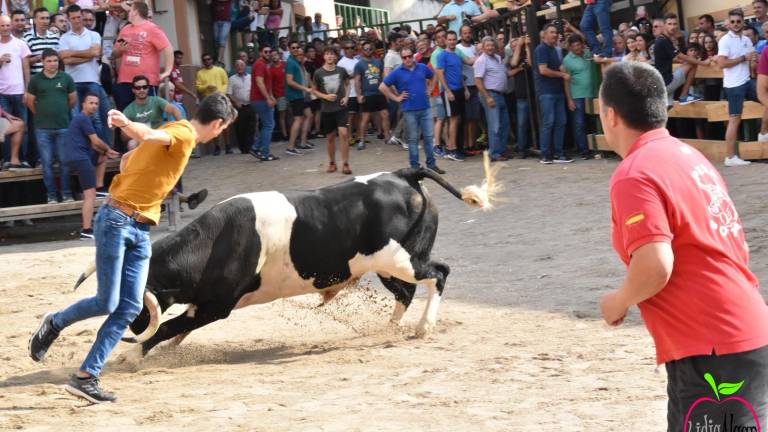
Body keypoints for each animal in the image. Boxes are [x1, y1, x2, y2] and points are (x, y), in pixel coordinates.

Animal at [75, 164, 498, 356]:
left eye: (133, 300)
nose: (125, 323)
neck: (218, 240)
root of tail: (403, 174)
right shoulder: (206, 305)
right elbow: (179, 328)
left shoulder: (218, 305)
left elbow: (170, 326)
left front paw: (132, 355)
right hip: (384, 266)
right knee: (406, 293)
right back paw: (388, 329)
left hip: (403, 259)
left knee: (438, 274)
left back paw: (424, 328)